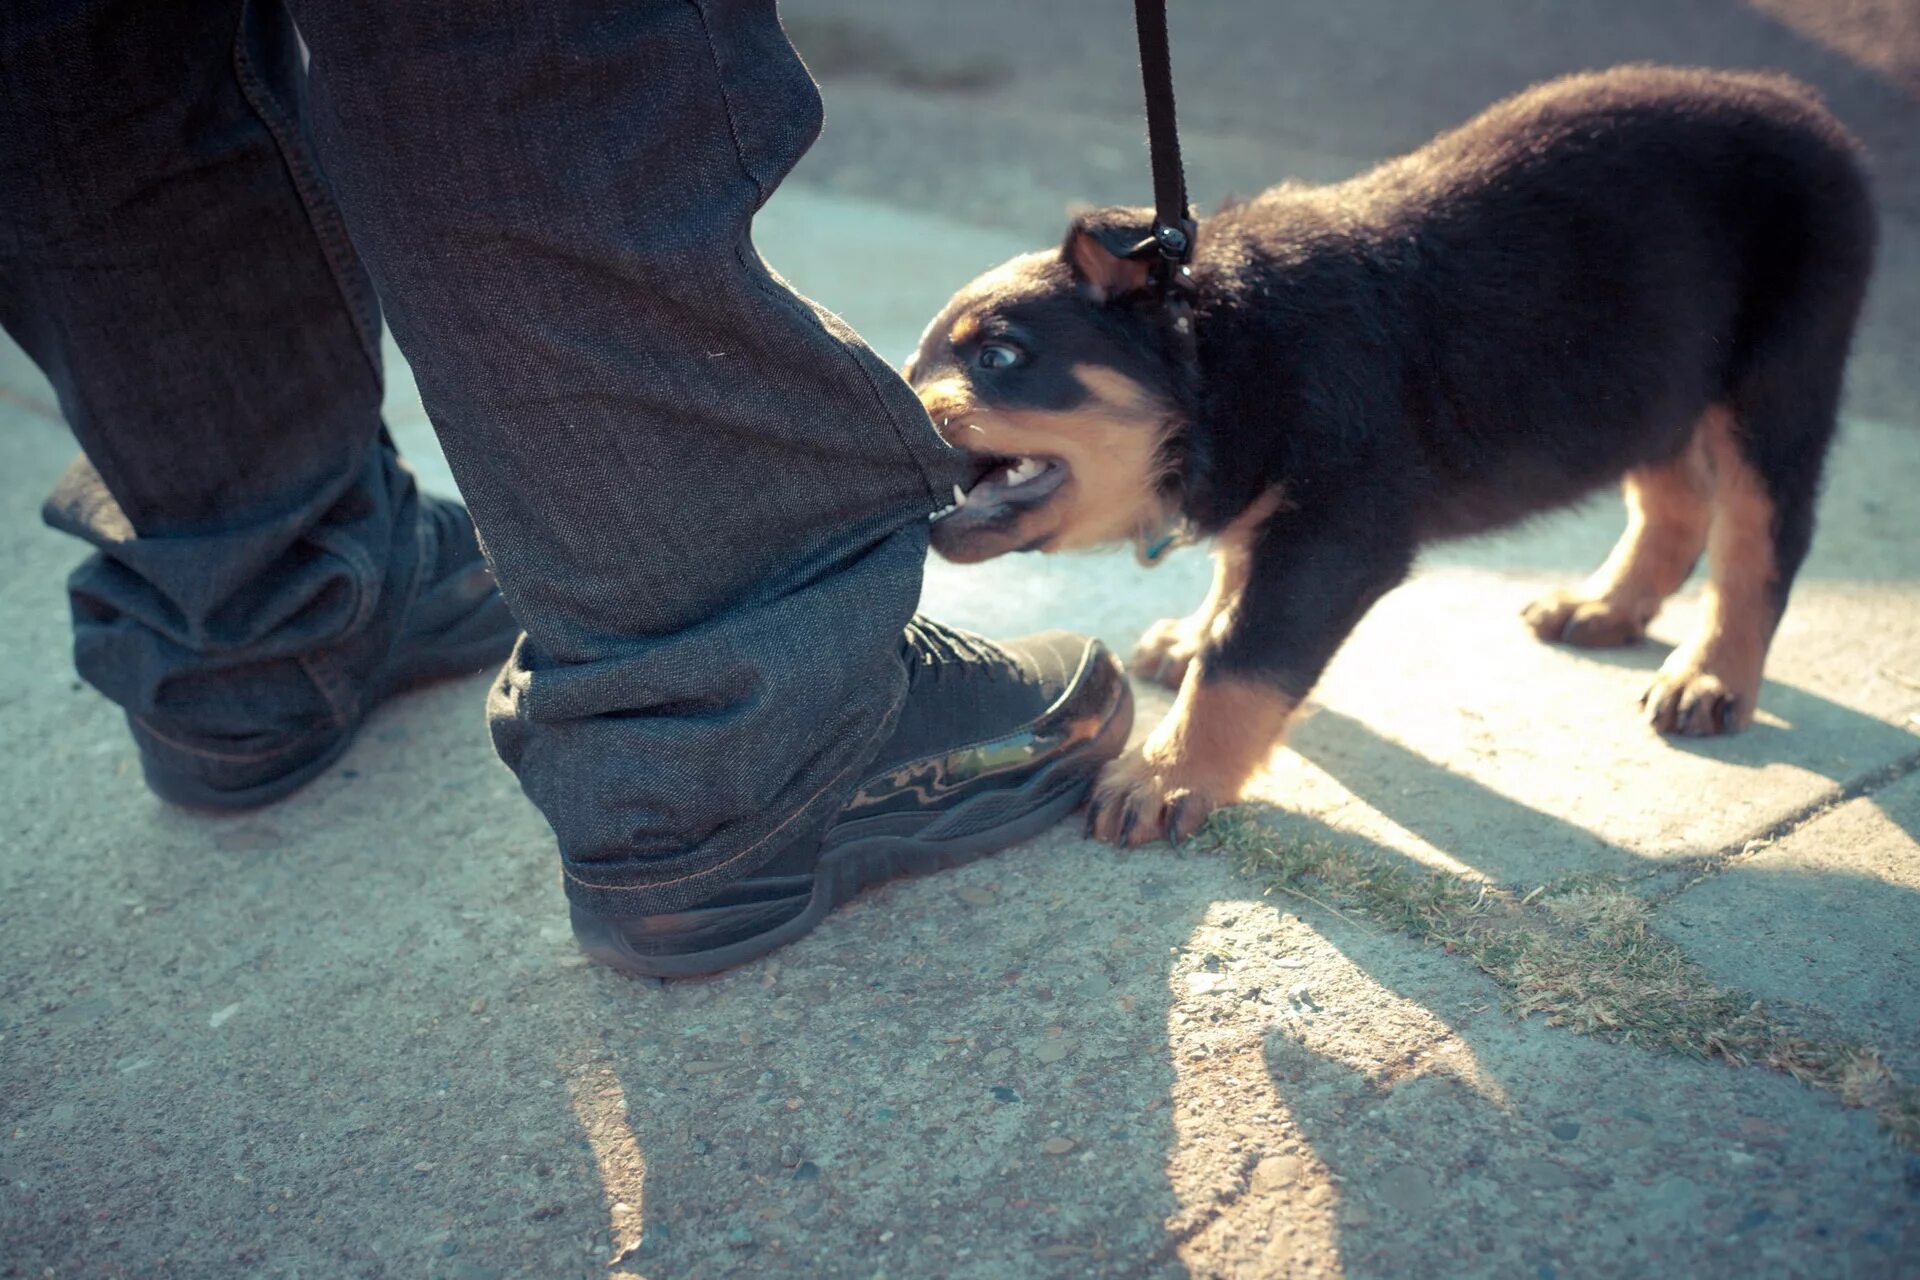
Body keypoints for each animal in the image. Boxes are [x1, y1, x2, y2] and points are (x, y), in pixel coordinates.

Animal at [910, 67, 1873, 852]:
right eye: (916, 367)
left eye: (998, 356)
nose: (896, 413)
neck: (1229, 349)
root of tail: (1808, 107)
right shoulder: (1279, 497)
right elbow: (1235, 583)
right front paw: (1191, 639)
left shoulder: (1341, 528)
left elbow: (1247, 655)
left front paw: (1167, 773)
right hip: (1650, 384)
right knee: (1674, 501)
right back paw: (1604, 606)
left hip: (1776, 381)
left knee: (1761, 540)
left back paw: (1710, 677)